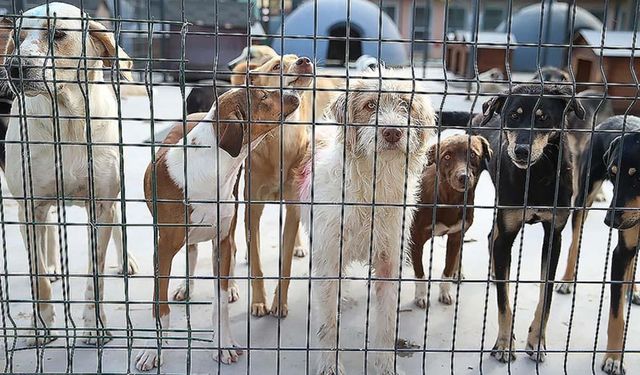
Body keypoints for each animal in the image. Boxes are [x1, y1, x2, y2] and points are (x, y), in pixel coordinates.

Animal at [3, 1, 134, 346]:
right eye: (17, 37)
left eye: (58, 34)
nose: (14, 67)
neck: (67, 121)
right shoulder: (30, 207)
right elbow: (36, 277)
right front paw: (40, 326)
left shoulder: (101, 206)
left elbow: (95, 276)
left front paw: (94, 326)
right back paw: (52, 266)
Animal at [135, 88, 300, 374]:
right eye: (264, 97)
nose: (295, 92)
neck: (213, 170)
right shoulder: (162, 250)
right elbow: (160, 306)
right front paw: (153, 351)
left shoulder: (221, 238)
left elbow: (219, 301)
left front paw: (223, 344)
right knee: (191, 250)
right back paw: (186, 286)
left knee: (229, 251)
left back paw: (231, 286)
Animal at [302, 72, 436, 374]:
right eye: (370, 105)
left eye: (406, 105)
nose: (392, 132)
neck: (374, 186)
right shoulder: (329, 258)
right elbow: (328, 324)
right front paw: (329, 365)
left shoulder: (389, 263)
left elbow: (386, 324)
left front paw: (386, 365)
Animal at [408, 135, 492, 308]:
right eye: (447, 157)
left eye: (473, 154)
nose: (463, 177)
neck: (449, 200)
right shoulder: (416, 240)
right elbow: (420, 273)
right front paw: (421, 296)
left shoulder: (455, 236)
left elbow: (448, 268)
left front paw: (445, 292)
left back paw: (458, 271)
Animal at [476, 84, 584, 364]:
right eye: (513, 116)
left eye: (543, 118)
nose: (521, 151)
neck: (537, 175)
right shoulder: (507, 234)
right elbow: (503, 302)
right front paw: (505, 344)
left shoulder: (554, 237)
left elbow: (545, 295)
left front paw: (537, 341)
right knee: (493, 240)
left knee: (491, 238)